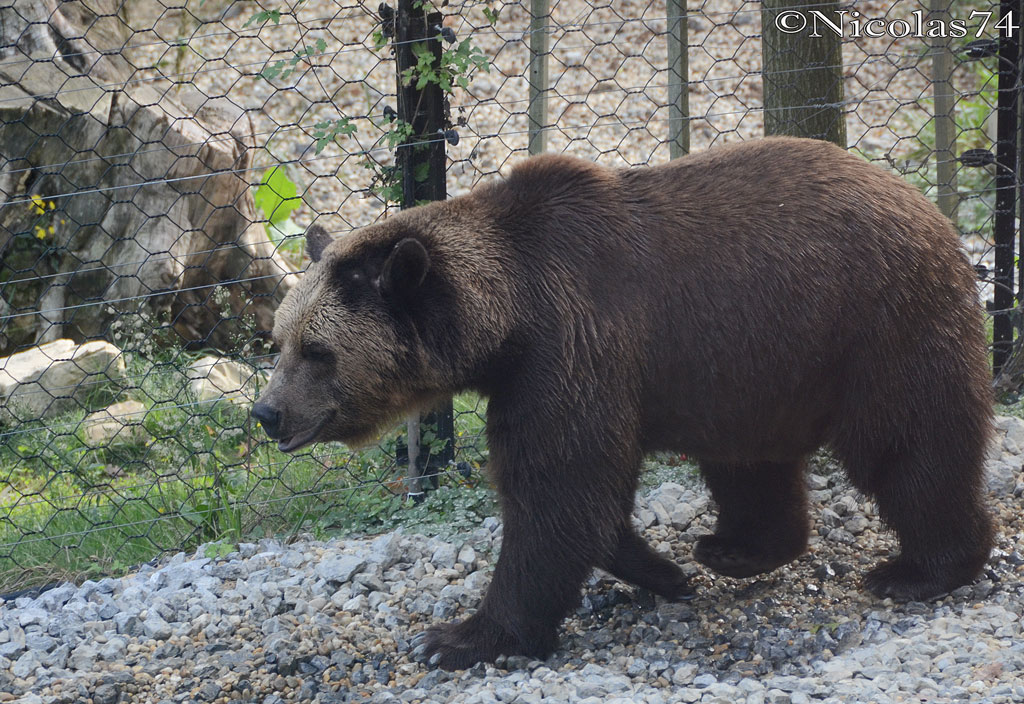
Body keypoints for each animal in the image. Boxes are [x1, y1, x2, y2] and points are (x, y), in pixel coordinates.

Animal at [252, 136, 994, 670]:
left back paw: (921, 569)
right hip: (755, 366)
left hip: (873, 322)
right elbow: (583, 497)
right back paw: (734, 549)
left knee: (908, 442)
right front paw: (664, 571)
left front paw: (460, 637)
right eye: (278, 340)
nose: (267, 413)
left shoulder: (568, 347)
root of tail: (928, 206)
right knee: (750, 460)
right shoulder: (549, 372)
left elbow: (557, 491)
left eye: (318, 350)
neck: (506, 319)